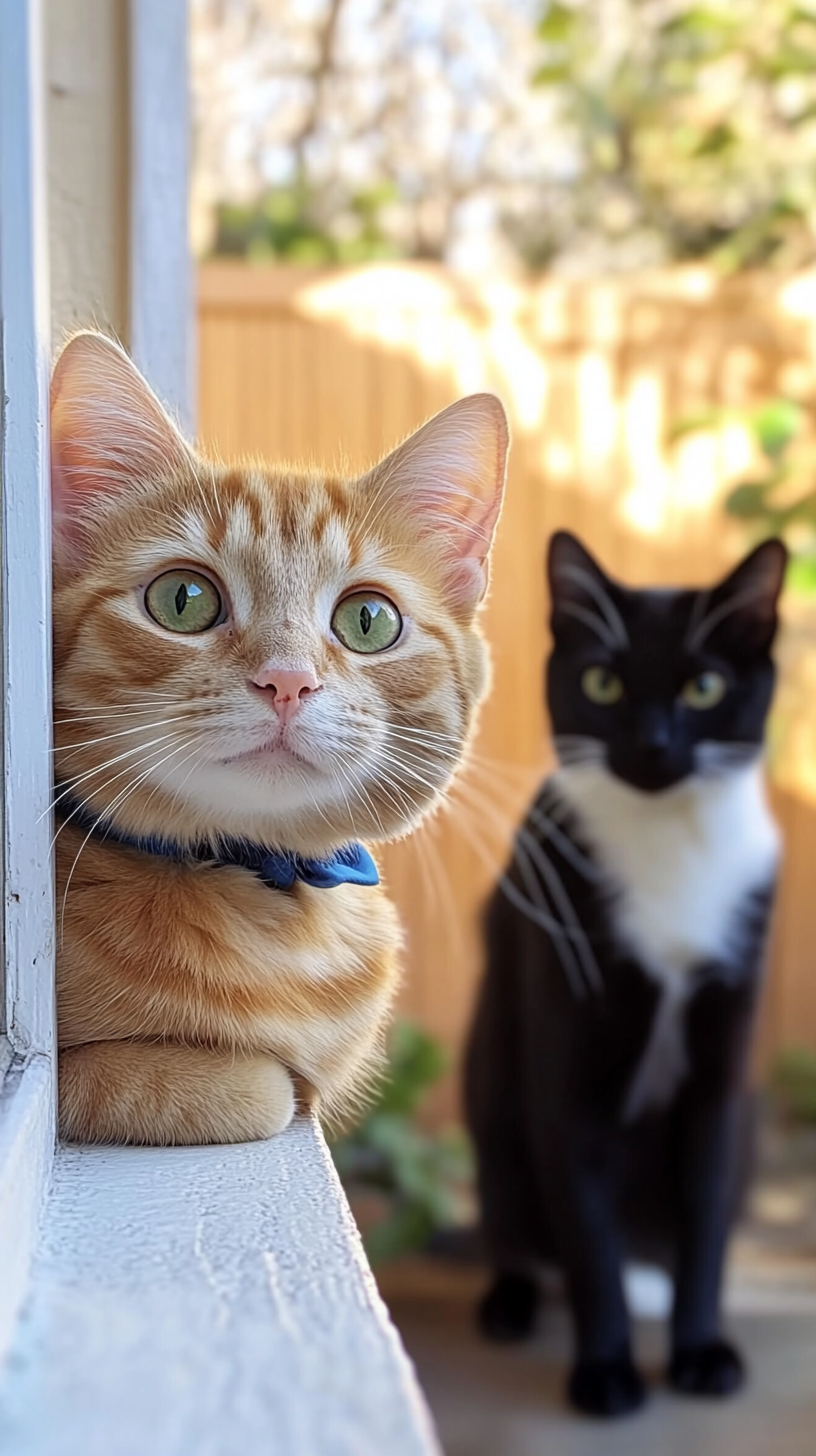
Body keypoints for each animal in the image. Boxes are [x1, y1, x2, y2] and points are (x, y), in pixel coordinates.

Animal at [469, 529, 786, 1415]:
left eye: (706, 686)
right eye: (601, 682)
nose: (653, 745)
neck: (668, 842)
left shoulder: (724, 1065)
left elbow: (707, 1209)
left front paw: (702, 1351)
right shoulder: (561, 1045)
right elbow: (586, 1226)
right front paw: (606, 1370)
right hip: (490, 1094)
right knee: (512, 1215)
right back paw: (511, 1299)